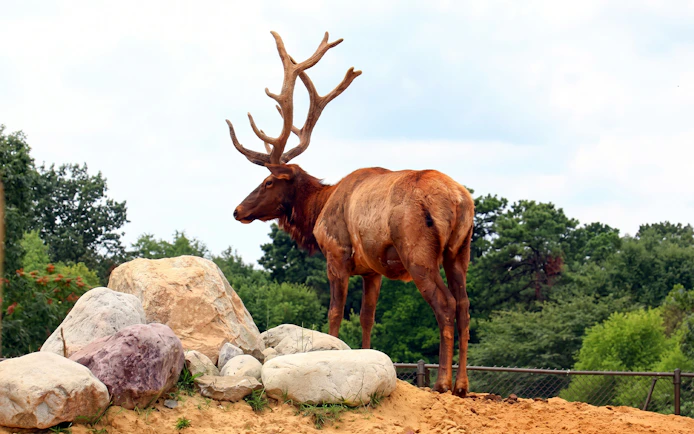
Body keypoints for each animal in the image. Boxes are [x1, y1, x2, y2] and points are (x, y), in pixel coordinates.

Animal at [228, 31, 474, 397]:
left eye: (269, 181)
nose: (237, 210)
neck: (317, 212)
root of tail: (459, 201)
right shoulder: (372, 270)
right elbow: (366, 317)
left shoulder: (337, 254)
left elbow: (334, 312)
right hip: (460, 251)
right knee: (465, 306)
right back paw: (462, 384)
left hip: (418, 251)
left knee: (446, 306)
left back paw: (443, 383)